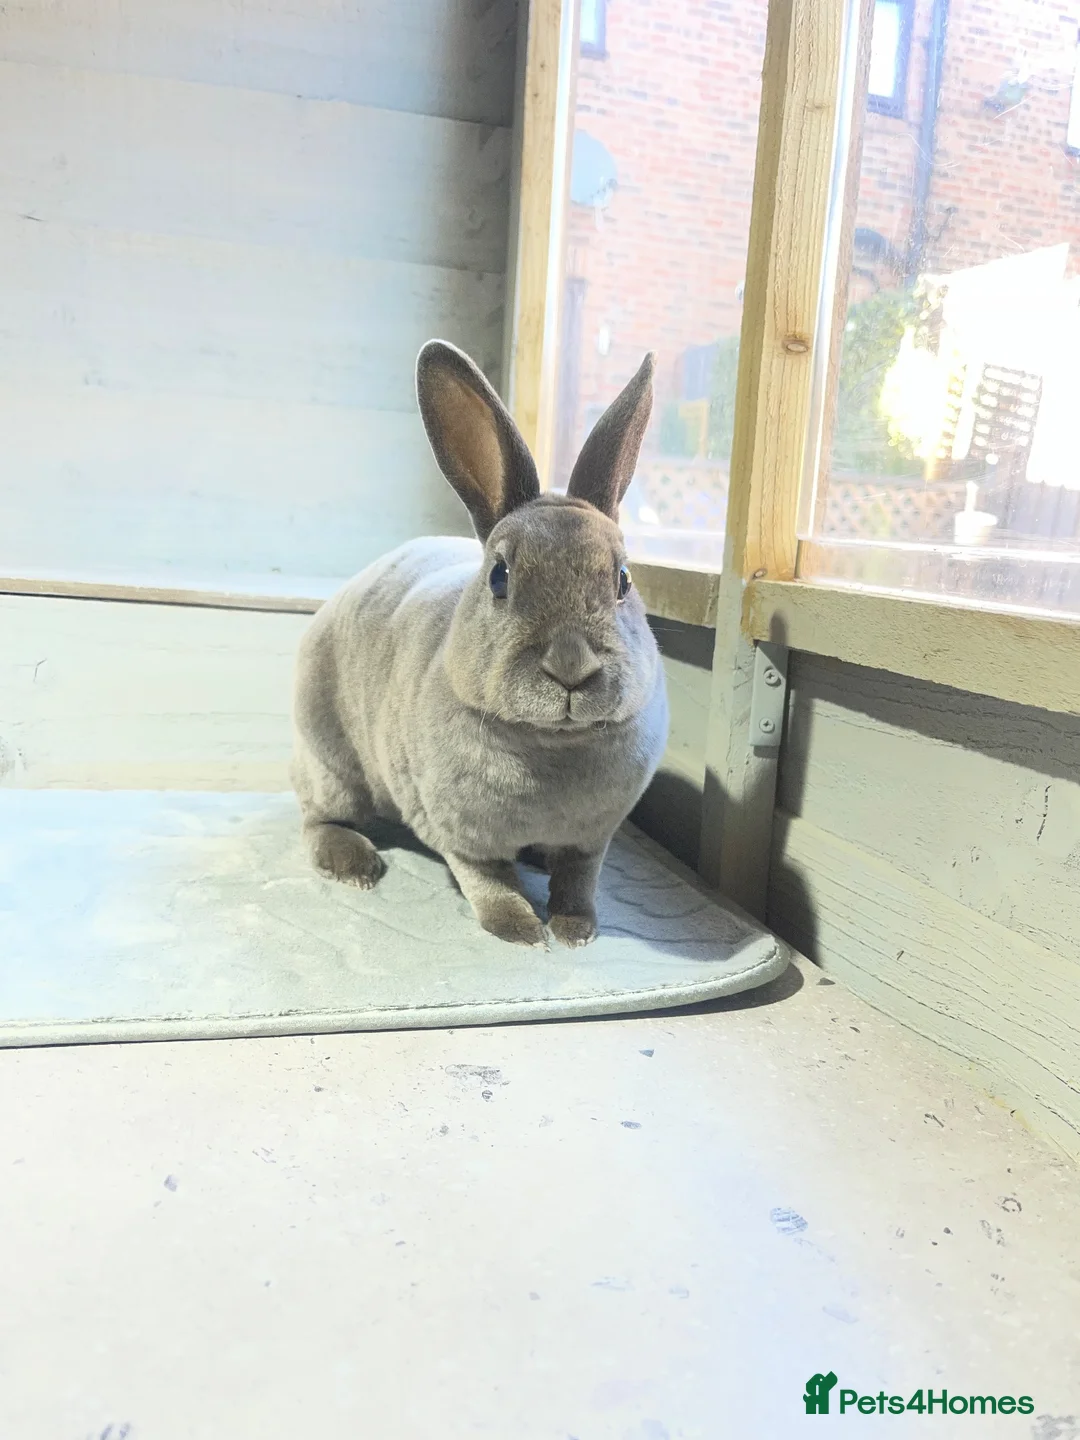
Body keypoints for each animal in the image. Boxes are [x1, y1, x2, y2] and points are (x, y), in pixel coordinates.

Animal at [291, 339, 669, 948]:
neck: (554, 746)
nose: (570, 666)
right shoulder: (462, 837)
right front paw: (520, 931)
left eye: (623, 580)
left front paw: (575, 930)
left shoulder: (590, 841)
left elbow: (578, 880)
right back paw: (356, 865)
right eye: (499, 577)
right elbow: (488, 881)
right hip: (331, 762)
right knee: (318, 816)